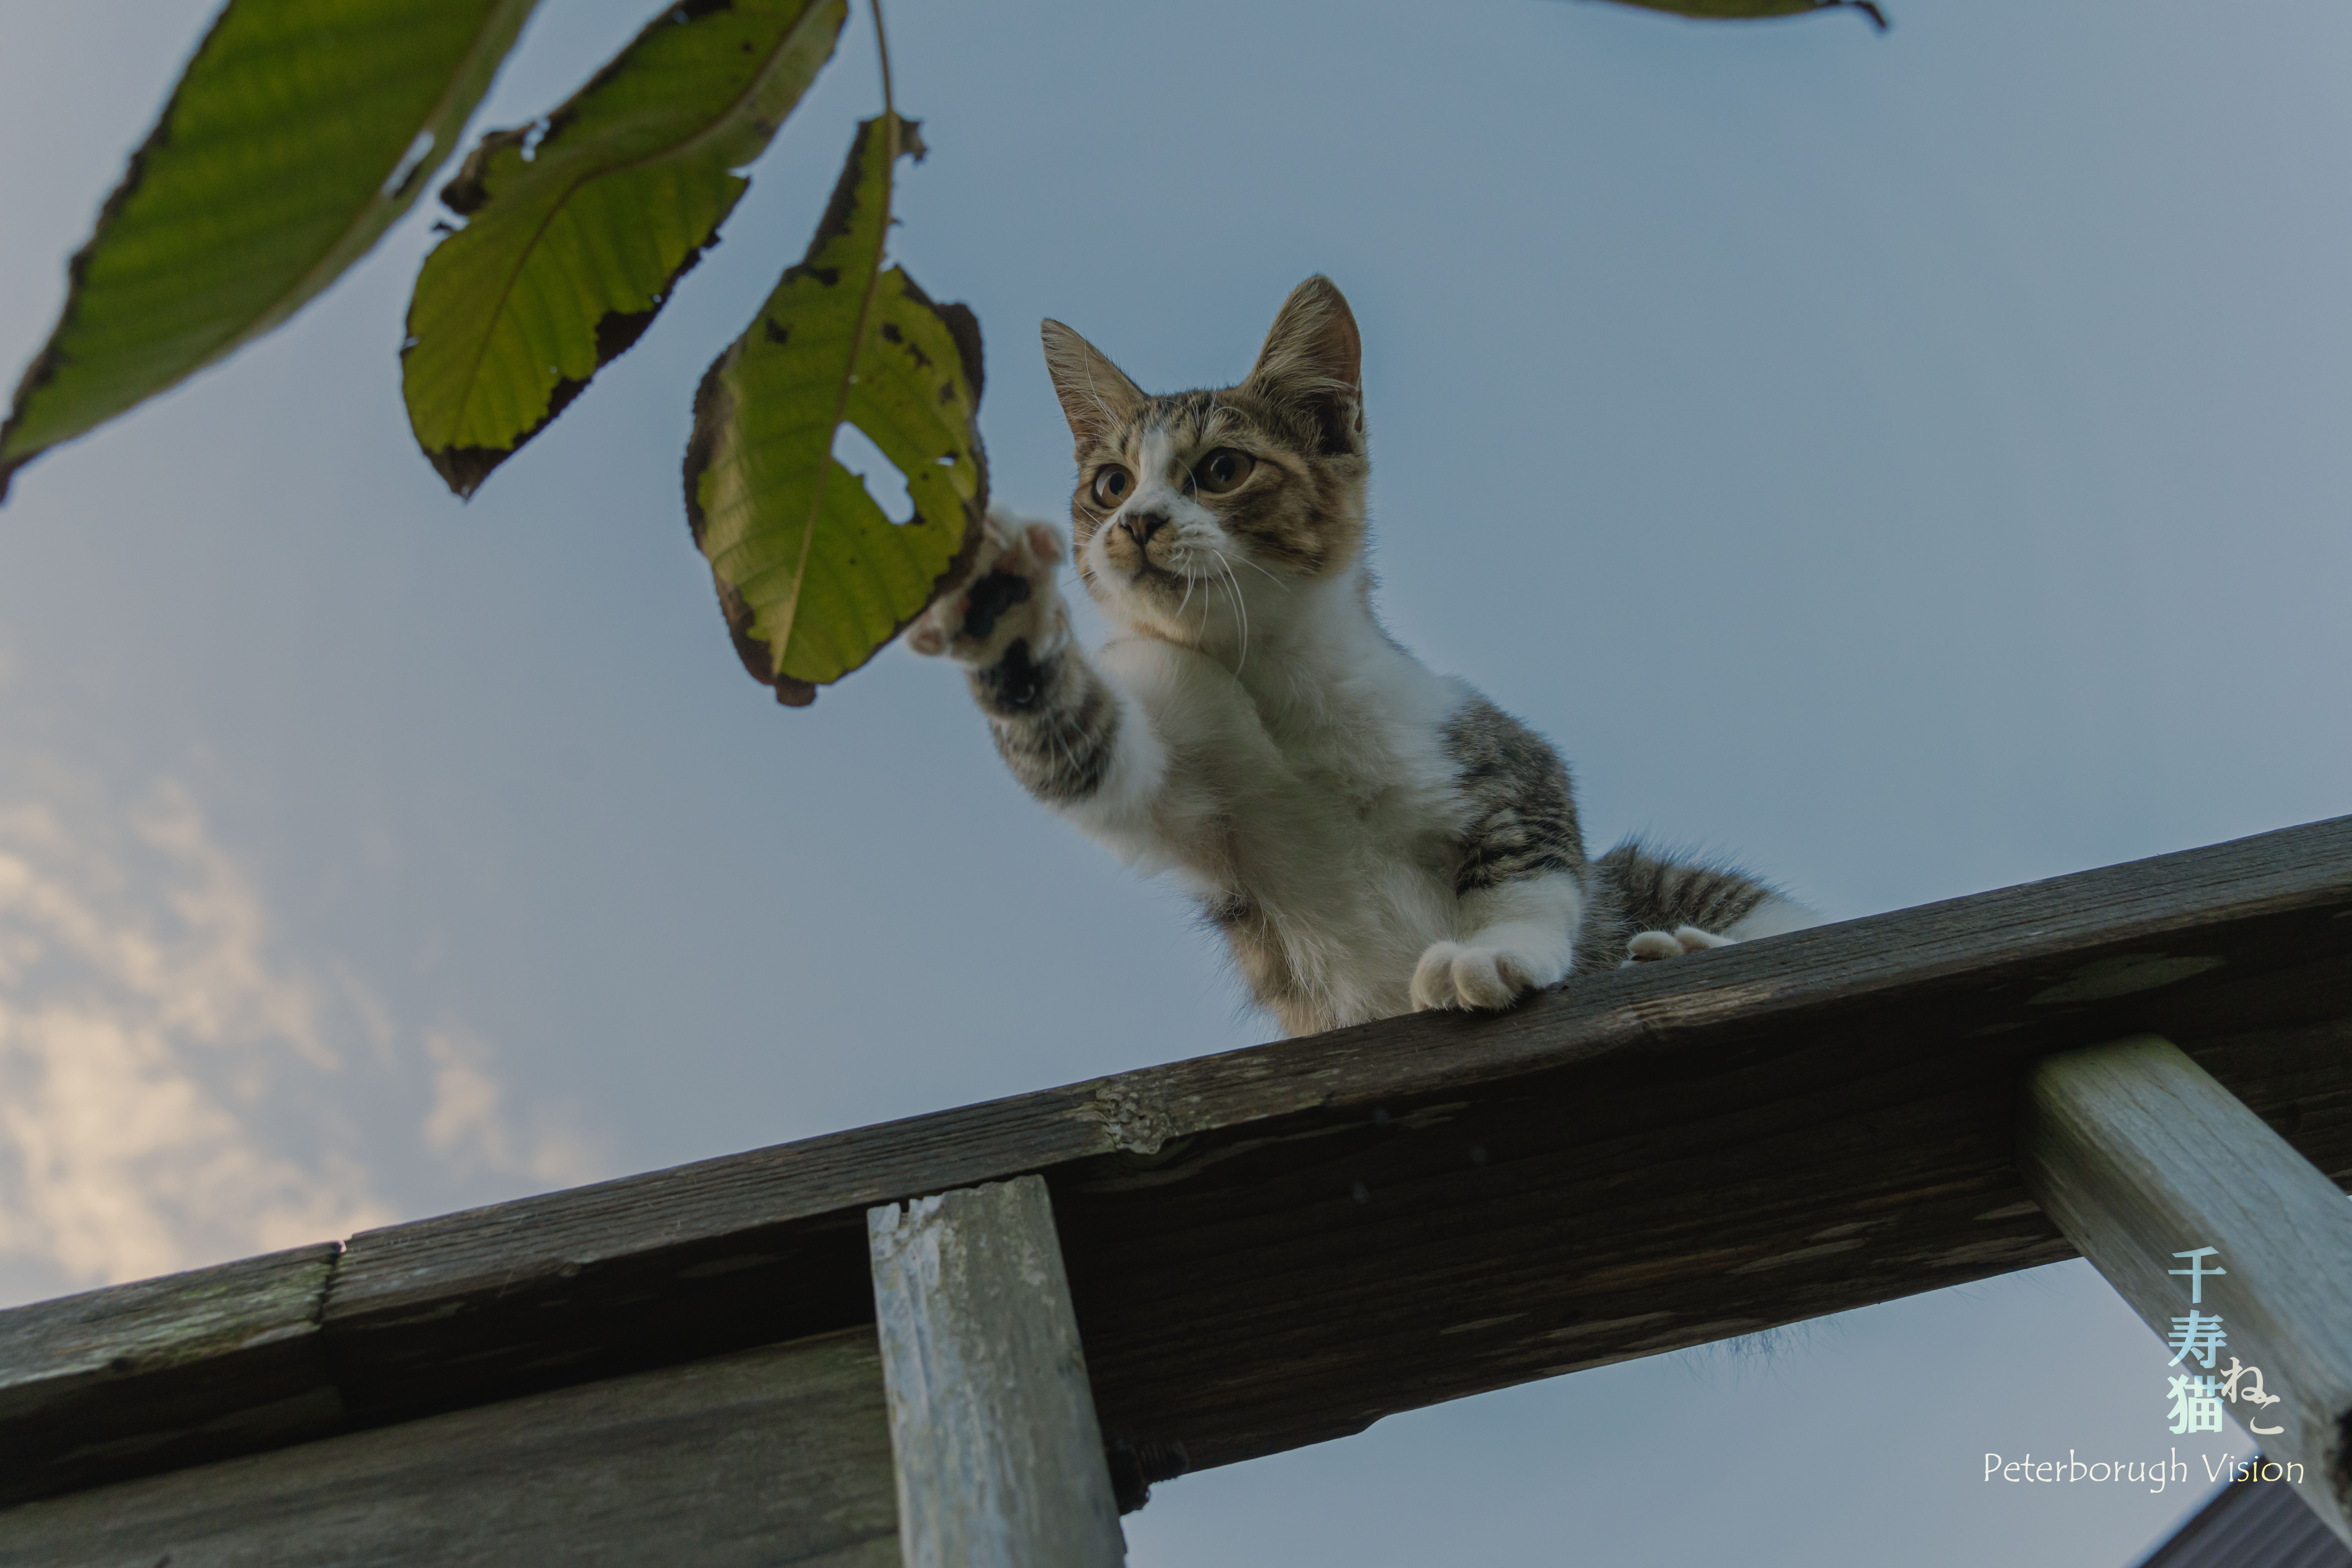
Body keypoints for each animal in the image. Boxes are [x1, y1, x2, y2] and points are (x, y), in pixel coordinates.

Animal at [903, 279, 1816, 1043]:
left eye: (1222, 469)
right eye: (1111, 484)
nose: (1136, 523)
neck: (1272, 688)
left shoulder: (1485, 742)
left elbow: (1529, 858)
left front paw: (1495, 950)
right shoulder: (1178, 764)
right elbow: (1084, 756)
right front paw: (1003, 613)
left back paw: (1681, 948)